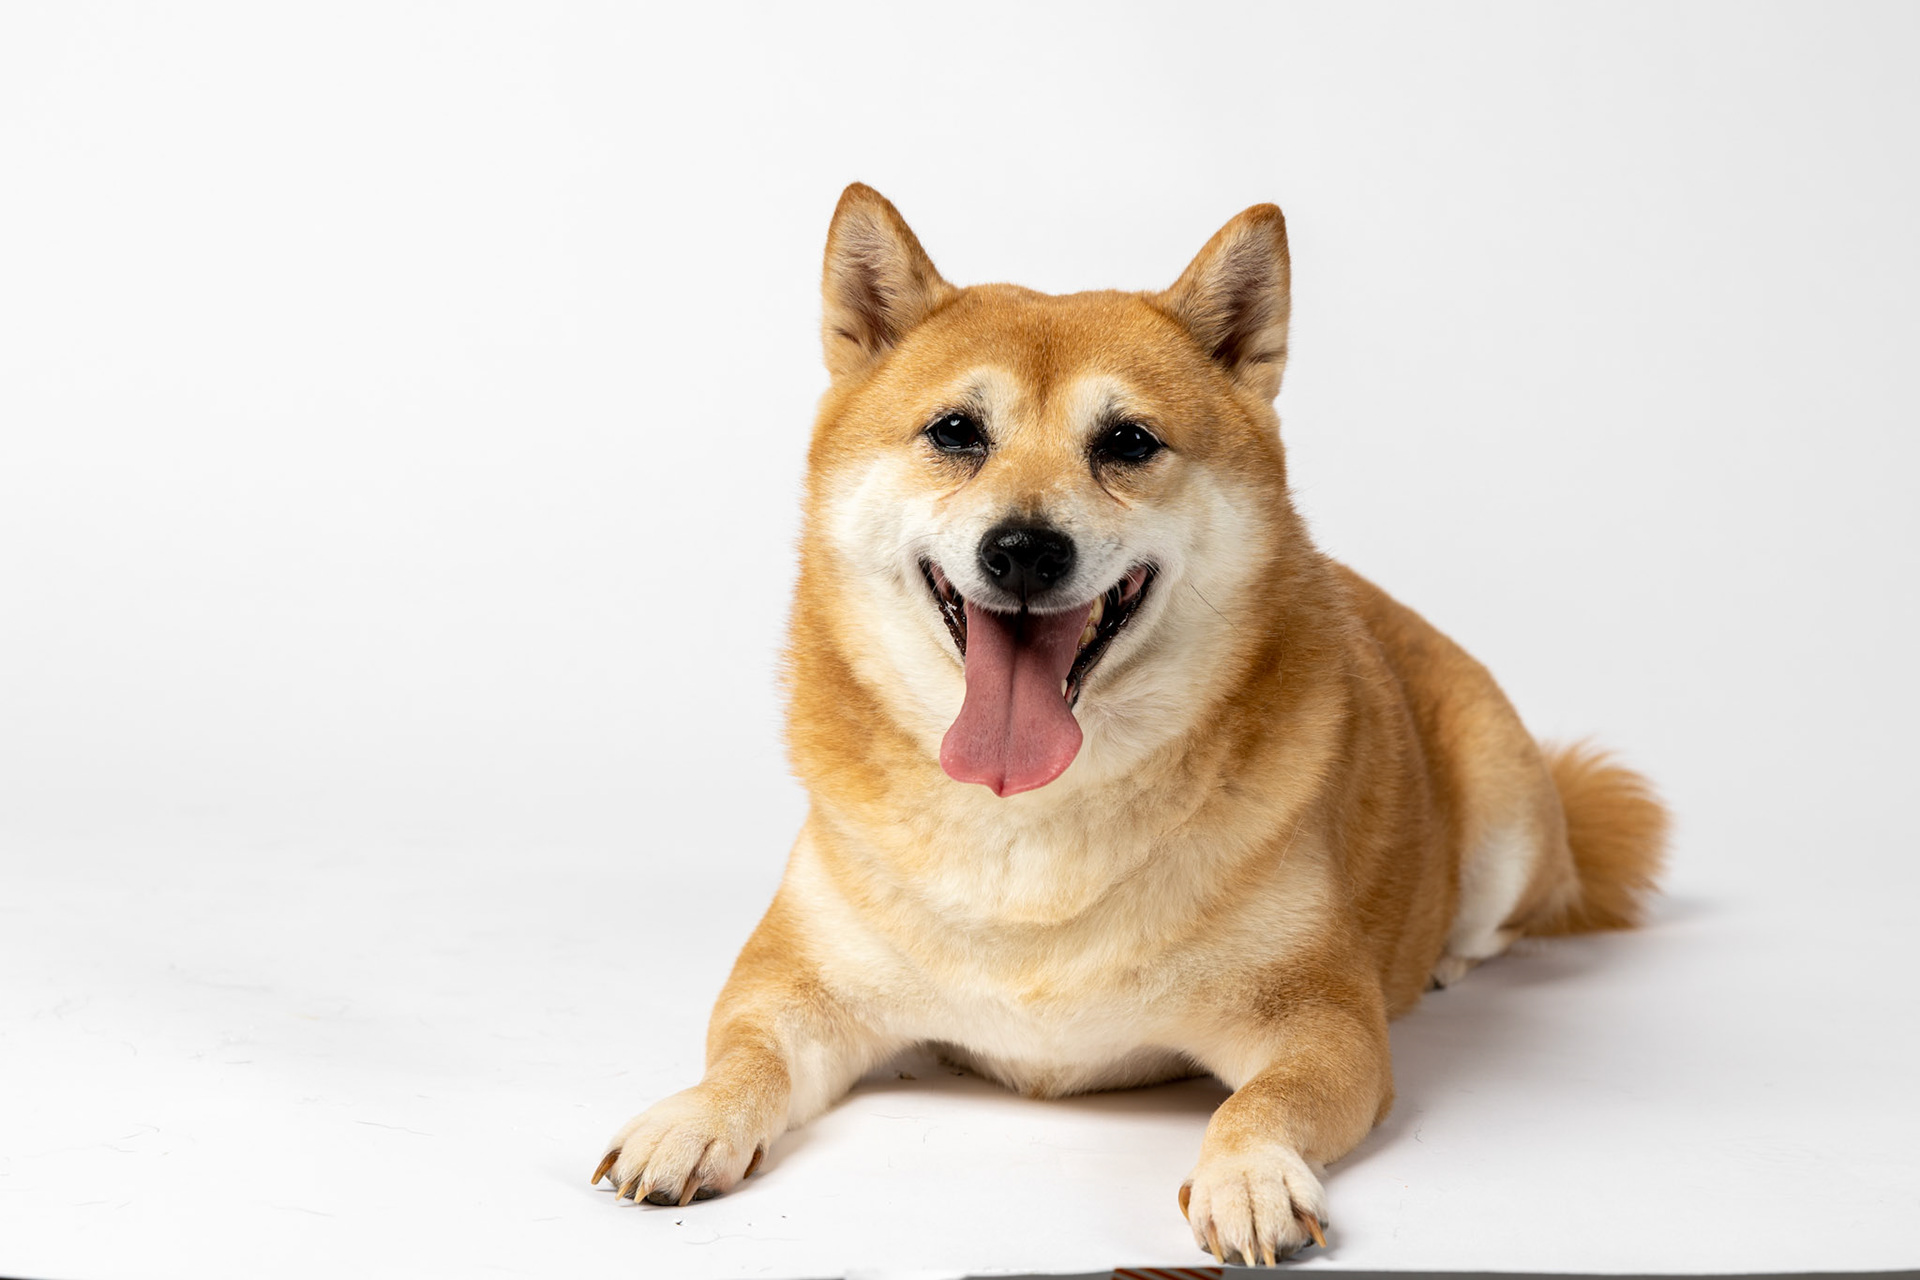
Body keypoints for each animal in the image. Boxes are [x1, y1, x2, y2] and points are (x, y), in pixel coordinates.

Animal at [592, 184, 1668, 1265]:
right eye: (955, 430)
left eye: (1129, 443)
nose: (1025, 548)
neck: (1029, 820)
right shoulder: (792, 980)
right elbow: (745, 1051)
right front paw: (692, 1117)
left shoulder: (1322, 1017)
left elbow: (1263, 1100)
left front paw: (1249, 1171)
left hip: (1504, 808)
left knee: (1502, 915)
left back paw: (1446, 954)